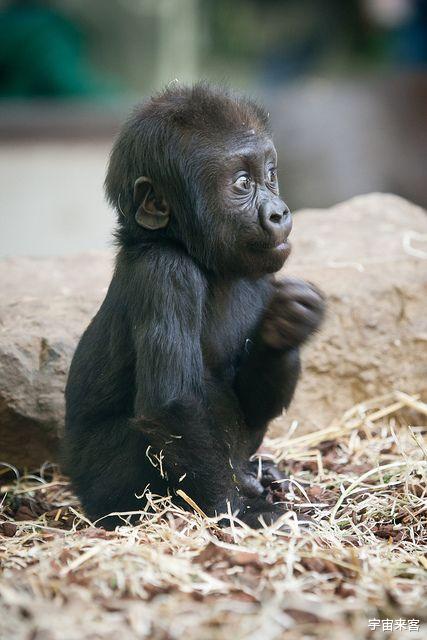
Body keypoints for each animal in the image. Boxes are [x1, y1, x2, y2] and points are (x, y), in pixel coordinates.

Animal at [62, 82, 324, 528]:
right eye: (241, 183)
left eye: (271, 175)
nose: (279, 213)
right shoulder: (164, 272)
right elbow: (174, 405)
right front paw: (237, 512)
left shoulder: (263, 273)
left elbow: (251, 397)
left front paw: (286, 329)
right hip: (100, 485)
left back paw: (254, 472)